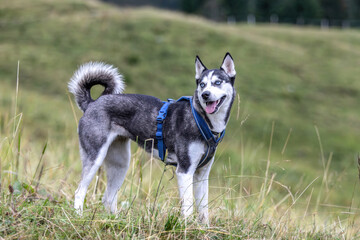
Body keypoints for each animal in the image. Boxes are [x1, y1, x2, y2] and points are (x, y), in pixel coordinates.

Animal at [68, 52, 236, 223]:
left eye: (217, 82)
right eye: (202, 84)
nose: (205, 95)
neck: (203, 121)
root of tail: (92, 103)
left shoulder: (202, 174)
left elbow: (203, 209)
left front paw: (203, 227)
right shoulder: (185, 170)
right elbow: (188, 207)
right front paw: (187, 227)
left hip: (121, 163)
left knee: (108, 197)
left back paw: (116, 221)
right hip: (95, 158)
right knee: (79, 192)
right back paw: (79, 218)